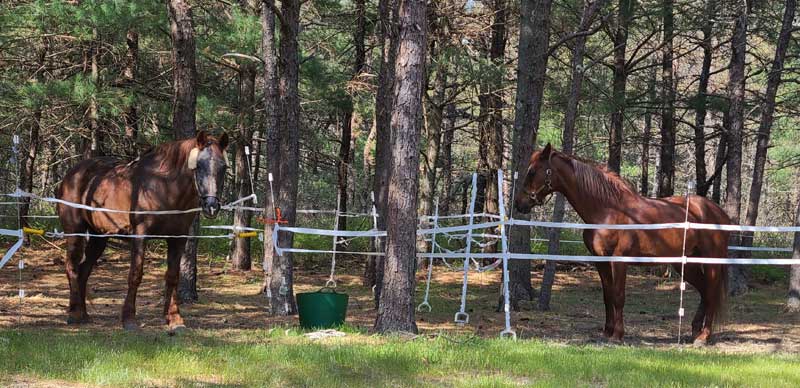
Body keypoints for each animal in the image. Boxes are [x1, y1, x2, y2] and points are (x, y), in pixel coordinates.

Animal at [56, 131, 228, 330]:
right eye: (198, 166)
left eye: (224, 167)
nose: (211, 206)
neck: (164, 187)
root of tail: (71, 175)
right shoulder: (140, 236)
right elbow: (135, 274)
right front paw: (129, 319)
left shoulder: (178, 238)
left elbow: (173, 276)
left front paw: (174, 319)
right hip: (74, 232)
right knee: (72, 268)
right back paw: (74, 314)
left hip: (99, 236)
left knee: (83, 270)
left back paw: (83, 314)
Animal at [512, 144, 732, 344]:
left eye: (532, 172)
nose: (519, 203)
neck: (608, 211)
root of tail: (718, 212)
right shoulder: (600, 261)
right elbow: (607, 295)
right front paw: (607, 332)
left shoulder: (619, 260)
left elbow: (618, 296)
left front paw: (618, 335)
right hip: (686, 263)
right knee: (704, 291)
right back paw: (695, 331)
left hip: (711, 263)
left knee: (711, 293)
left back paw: (703, 336)